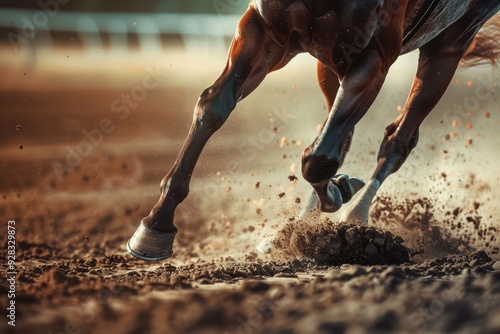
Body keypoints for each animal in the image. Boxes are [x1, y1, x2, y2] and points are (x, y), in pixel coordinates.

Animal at [127, 0, 500, 260]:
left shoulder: (374, 55)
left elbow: (319, 159)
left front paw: (339, 193)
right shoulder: (263, 28)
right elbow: (213, 106)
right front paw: (155, 227)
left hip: (451, 39)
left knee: (397, 140)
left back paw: (356, 215)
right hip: (329, 61)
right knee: (340, 136)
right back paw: (296, 228)